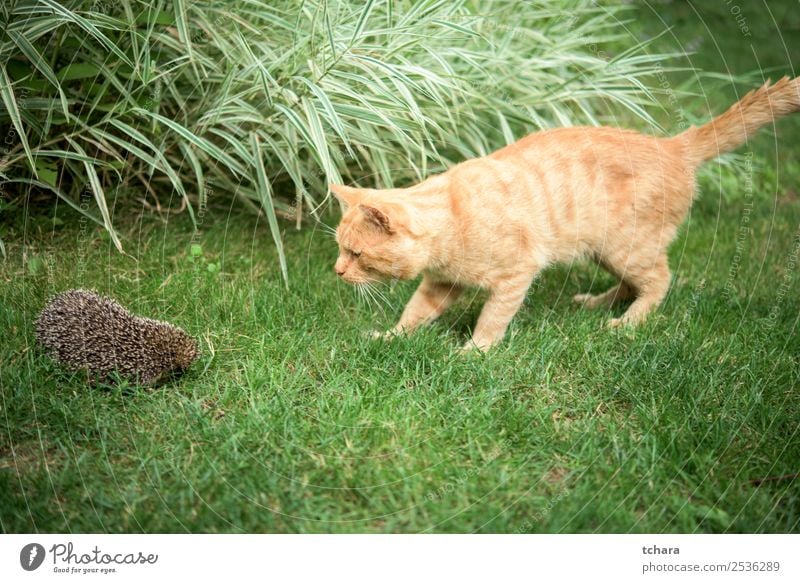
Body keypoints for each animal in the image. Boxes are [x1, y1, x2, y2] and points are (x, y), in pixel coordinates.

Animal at [330, 77, 800, 352]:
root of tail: (673, 145)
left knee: (661, 280)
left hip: (627, 248)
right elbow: (414, 314)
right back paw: (595, 305)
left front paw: (474, 353)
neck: (452, 220)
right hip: (607, 252)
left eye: (356, 254)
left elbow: (491, 319)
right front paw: (389, 337)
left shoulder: (515, 275)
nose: (336, 271)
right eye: (340, 249)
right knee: (633, 283)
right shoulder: (440, 284)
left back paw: (626, 324)